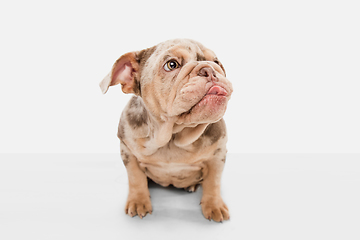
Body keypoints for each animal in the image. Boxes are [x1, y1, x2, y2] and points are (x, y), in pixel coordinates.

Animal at [99, 39, 233, 221]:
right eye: (171, 64)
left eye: (217, 62)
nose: (209, 69)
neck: (173, 136)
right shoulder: (128, 151)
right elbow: (135, 178)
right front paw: (139, 201)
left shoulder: (218, 155)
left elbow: (213, 182)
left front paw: (214, 206)